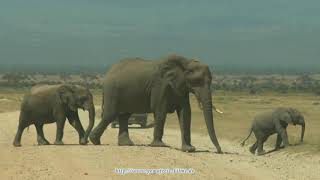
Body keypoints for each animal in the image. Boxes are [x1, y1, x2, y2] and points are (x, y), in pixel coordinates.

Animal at [89, 53, 221, 153]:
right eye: (197, 81)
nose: (219, 151)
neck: (186, 62)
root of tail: (108, 72)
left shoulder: (181, 87)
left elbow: (185, 113)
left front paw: (189, 149)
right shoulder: (160, 85)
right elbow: (160, 110)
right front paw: (160, 145)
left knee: (124, 116)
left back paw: (126, 144)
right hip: (112, 90)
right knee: (110, 114)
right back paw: (95, 141)